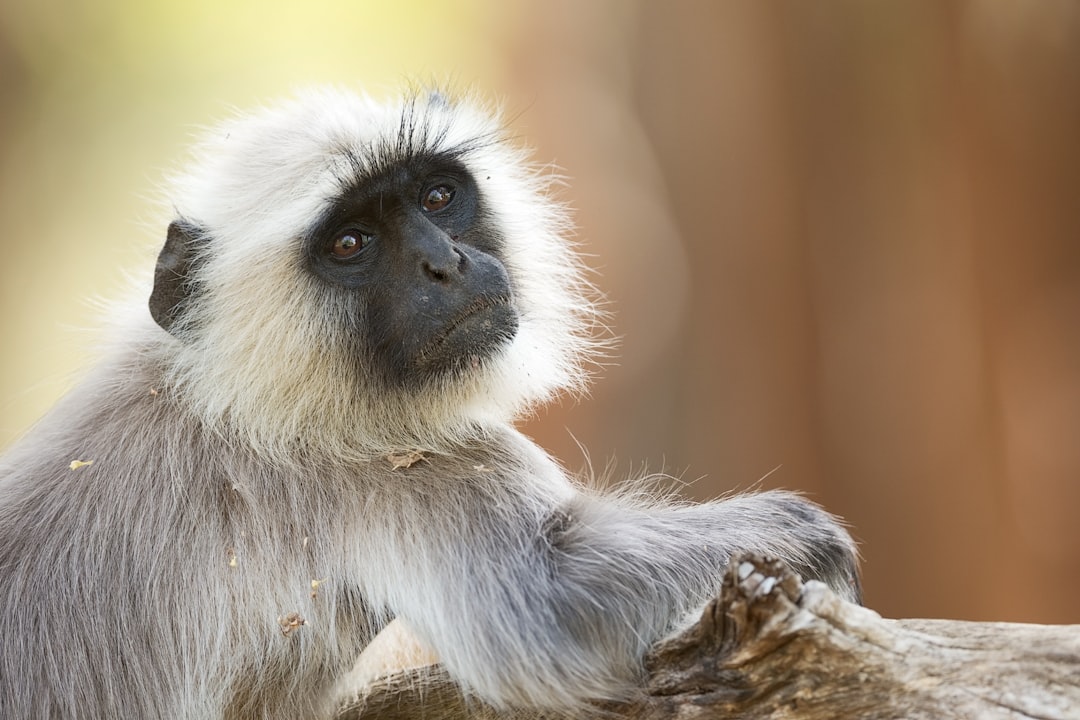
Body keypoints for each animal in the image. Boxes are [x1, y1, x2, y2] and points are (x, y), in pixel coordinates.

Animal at [0, 87, 859, 716]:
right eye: (351, 243)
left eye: (439, 197)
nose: (444, 263)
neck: (223, 388)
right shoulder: (391, 460)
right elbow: (549, 606)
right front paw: (802, 535)